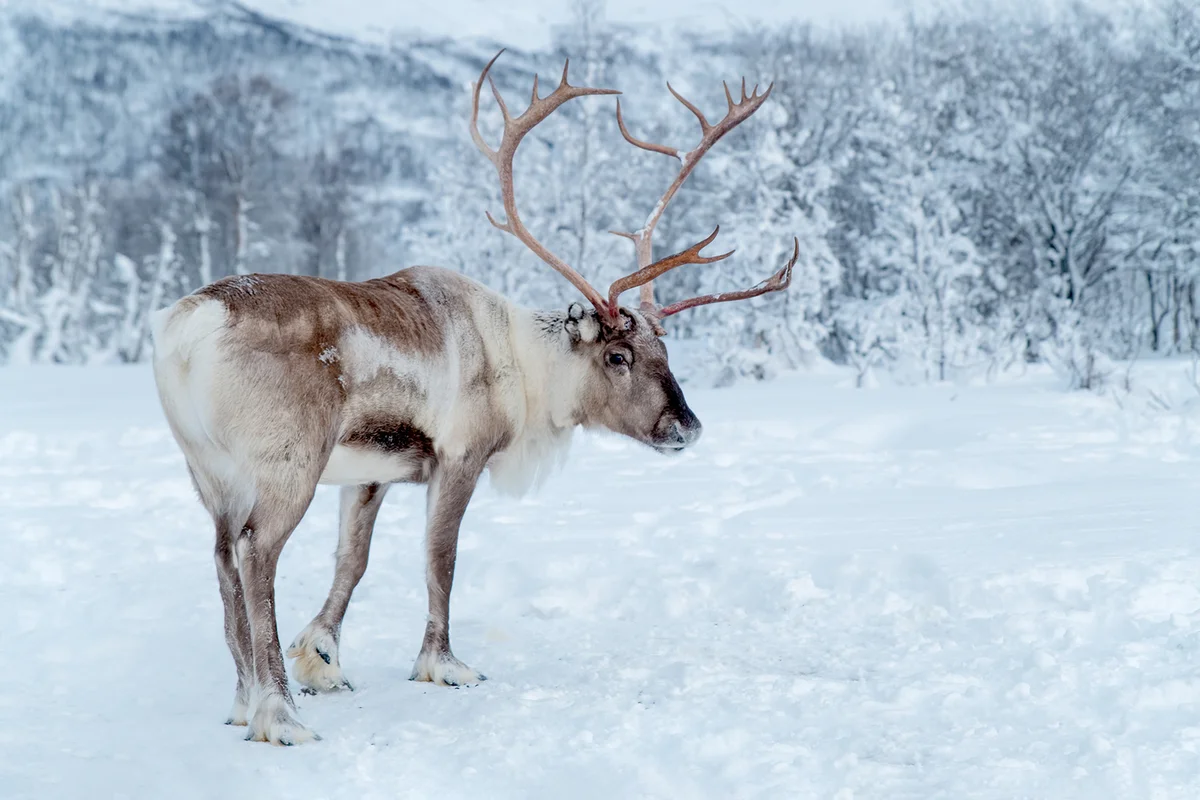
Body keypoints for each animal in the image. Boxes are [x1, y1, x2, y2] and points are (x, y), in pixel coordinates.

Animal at [150, 50, 798, 745]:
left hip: (210, 472)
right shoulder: (460, 456)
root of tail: (188, 329)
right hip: (285, 466)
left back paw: (244, 700)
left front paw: (323, 658)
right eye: (618, 356)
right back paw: (278, 714)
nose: (687, 426)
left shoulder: (371, 472)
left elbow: (353, 559)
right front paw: (443, 664)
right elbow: (441, 558)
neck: (525, 366)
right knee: (257, 555)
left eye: (665, 352)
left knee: (223, 558)